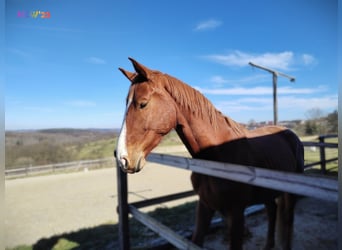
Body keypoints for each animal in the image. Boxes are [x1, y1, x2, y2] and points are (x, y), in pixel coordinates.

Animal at [115, 58, 304, 250]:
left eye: (143, 103)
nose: (122, 158)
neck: (217, 158)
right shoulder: (205, 206)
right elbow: (196, 241)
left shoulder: (236, 213)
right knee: (272, 210)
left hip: (289, 194)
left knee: (288, 220)